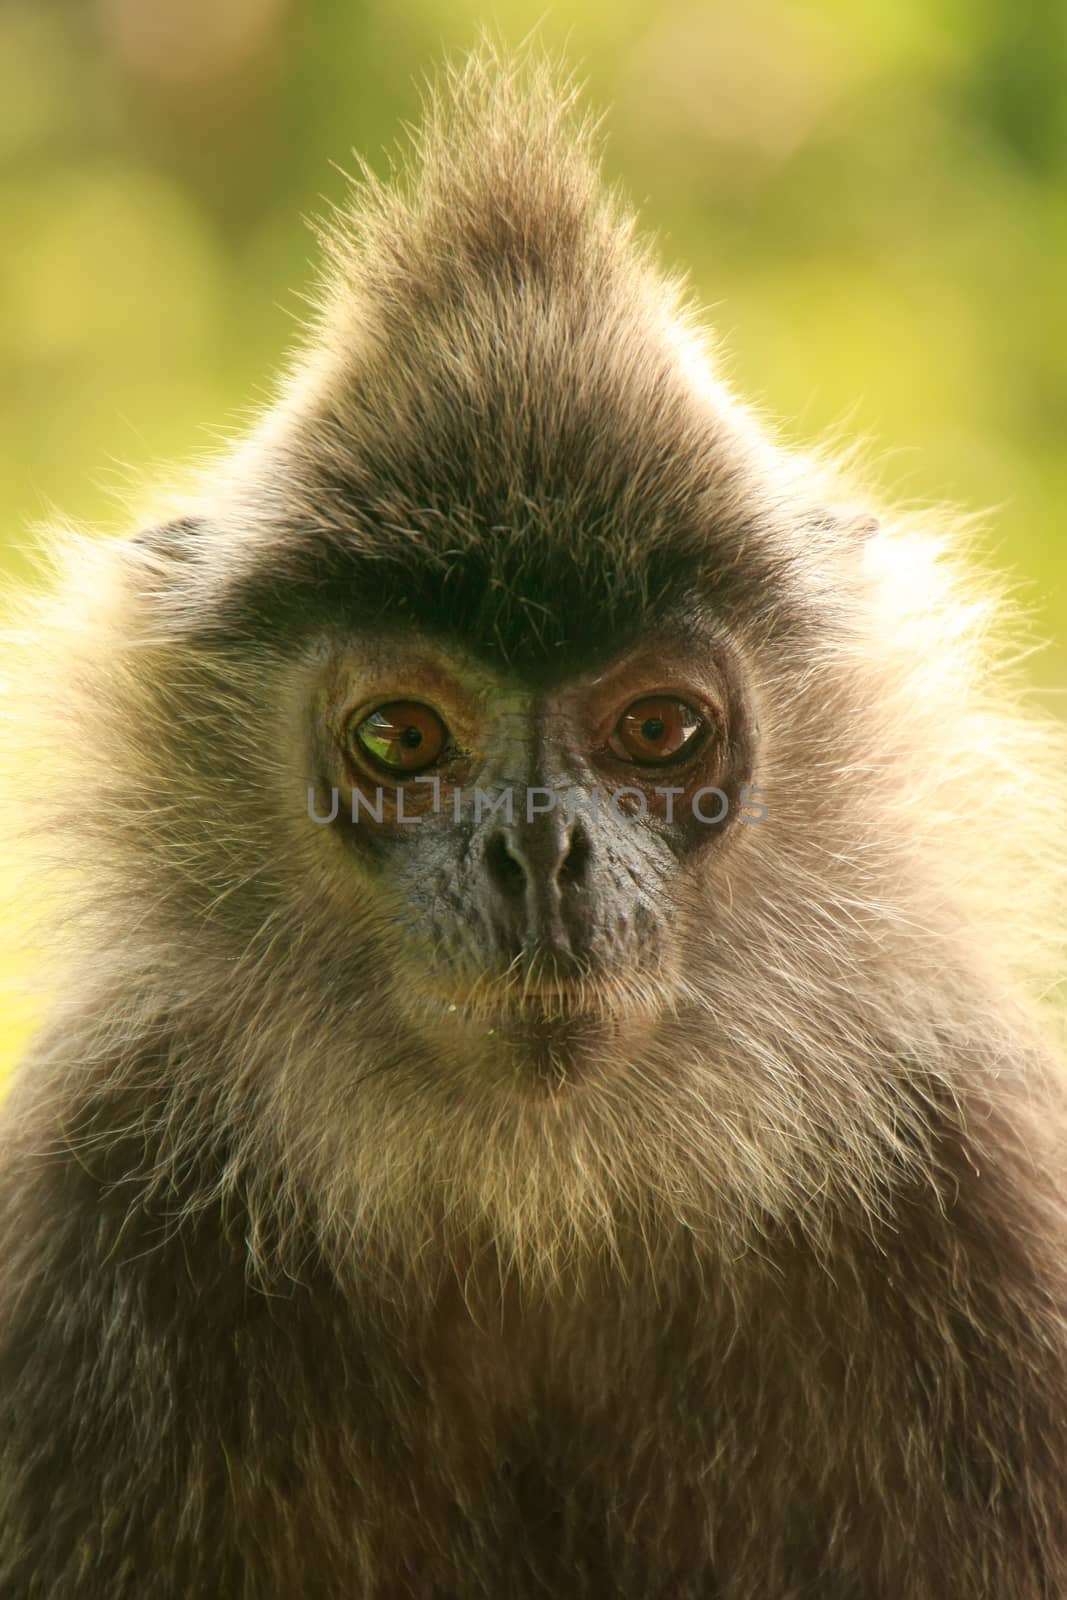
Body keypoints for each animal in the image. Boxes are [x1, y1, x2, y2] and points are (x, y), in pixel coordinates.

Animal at [2, 46, 1067, 1600]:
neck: (545, 1203)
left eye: (657, 731)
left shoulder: (971, 1182)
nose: (540, 856)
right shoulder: (94, 1198)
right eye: (398, 739)